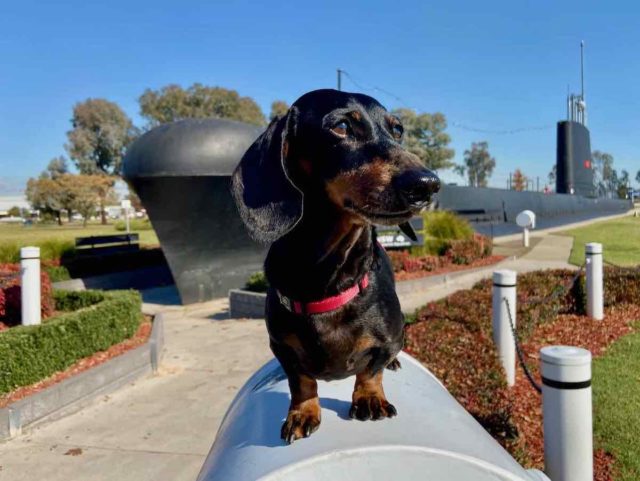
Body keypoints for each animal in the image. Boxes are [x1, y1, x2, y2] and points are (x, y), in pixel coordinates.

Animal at [231, 89, 440, 442]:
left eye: (397, 130)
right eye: (341, 127)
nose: (427, 184)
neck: (328, 274)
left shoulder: (390, 339)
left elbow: (371, 369)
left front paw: (369, 398)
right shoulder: (281, 347)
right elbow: (300, 380)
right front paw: (302, 412)